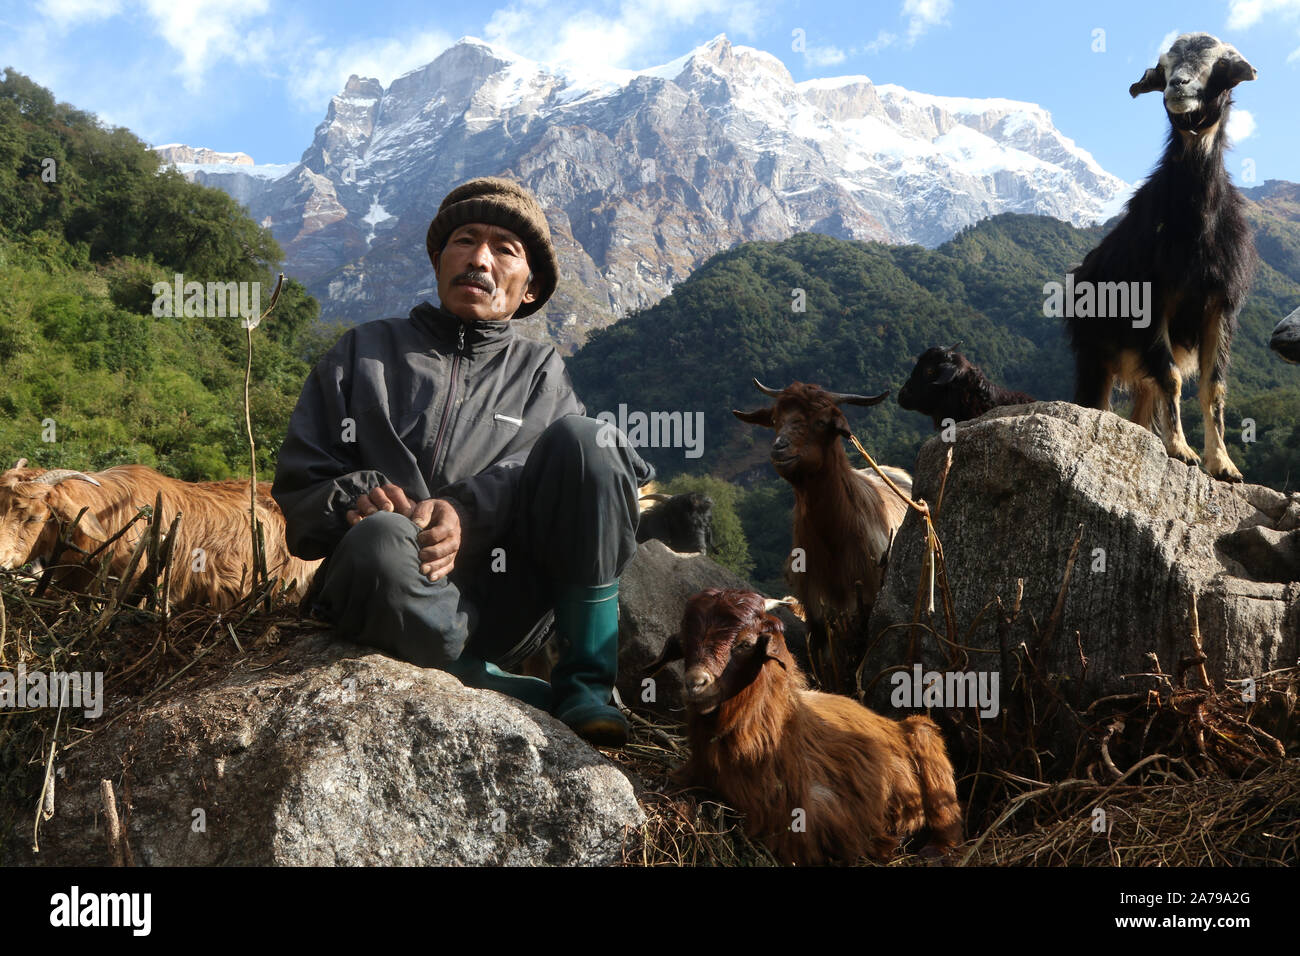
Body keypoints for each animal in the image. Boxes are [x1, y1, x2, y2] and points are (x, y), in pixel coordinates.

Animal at [738, 379, 909, 686]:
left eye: (820, 421)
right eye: (775, 420)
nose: (779, 448)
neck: (835, 539)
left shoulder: (867, 594)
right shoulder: (814, 602)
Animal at [1066, 32, 1258, 481]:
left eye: (1220, 65)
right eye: (1164, 69)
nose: (1178, 87)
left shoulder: (1219, 306)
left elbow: (1213, 386)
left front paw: (1222, 464)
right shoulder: (1152, 301)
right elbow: (1172, 377)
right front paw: (1181, 451)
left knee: (1142, 409)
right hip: (1095, 352)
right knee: (1095, 400)